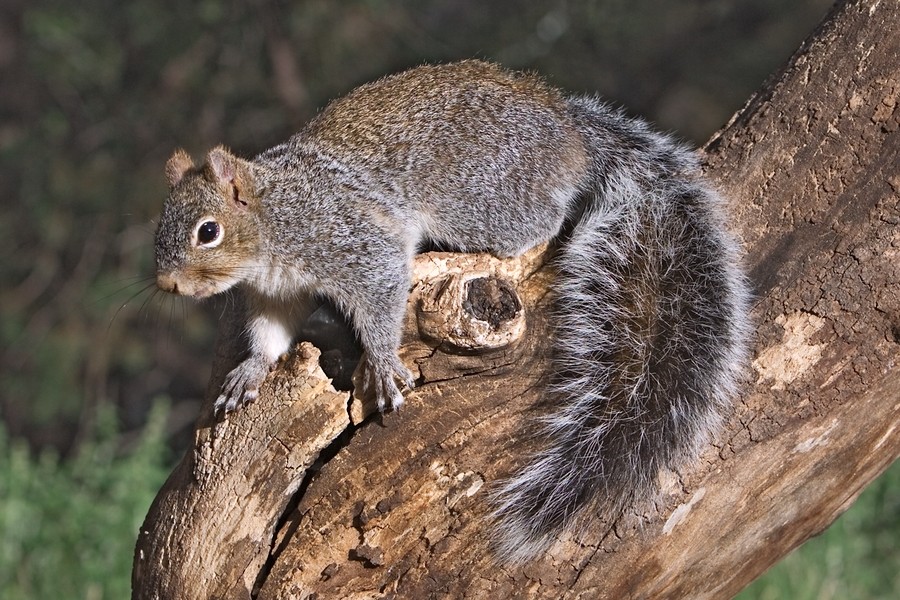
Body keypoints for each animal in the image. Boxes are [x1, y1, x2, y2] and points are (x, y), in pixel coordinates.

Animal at [154, 60, 751, 563]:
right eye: (160, 226)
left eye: (208, 231)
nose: (166, 283)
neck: (274, 220)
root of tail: (569, 130)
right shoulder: (275, 297)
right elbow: (271, 336)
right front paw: (249, 372)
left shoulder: (357, 246)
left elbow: (380, 294)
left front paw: (380, 364)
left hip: (482, 203)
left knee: (546, 217)